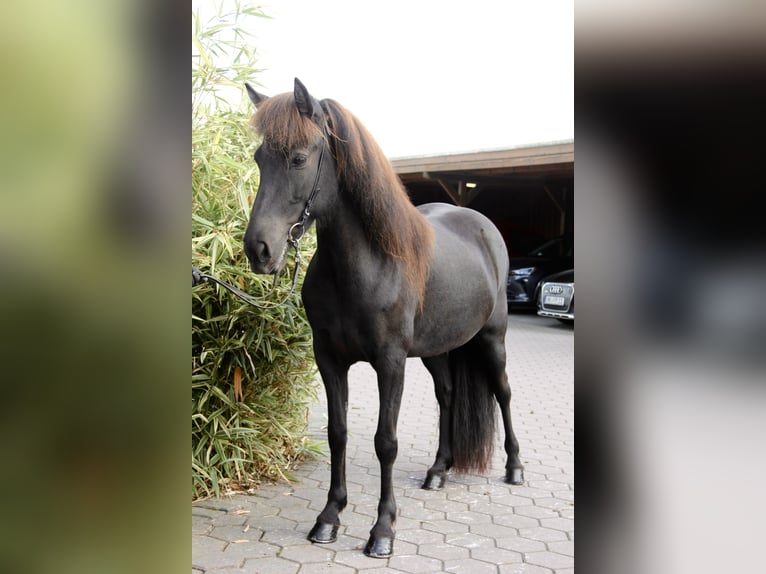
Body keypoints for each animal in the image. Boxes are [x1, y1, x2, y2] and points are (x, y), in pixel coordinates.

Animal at [242, 78, 524, 558]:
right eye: (260, 158)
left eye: (298, 157)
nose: (259, 250)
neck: (366, 265)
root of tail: (484, 227)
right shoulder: (329, 359)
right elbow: (337, 432)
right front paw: (328, 517)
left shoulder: (390, 363)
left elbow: (384, 442)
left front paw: (382, 530)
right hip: (437, 350)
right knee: (447, 396)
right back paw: (438, 470)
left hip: (493, 339)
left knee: (502, 393)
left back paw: (515, 467)